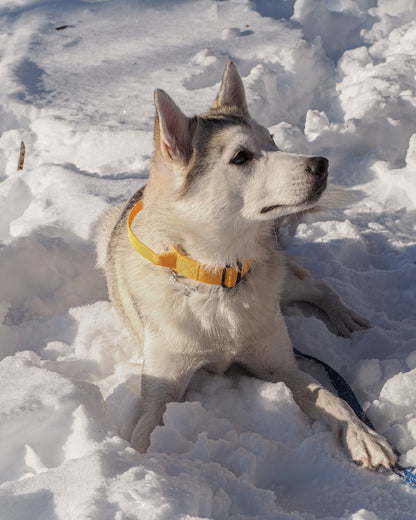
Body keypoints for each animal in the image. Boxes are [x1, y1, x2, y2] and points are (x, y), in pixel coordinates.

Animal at [96, 60, 394, 468]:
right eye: (241, 157)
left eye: (273, 140)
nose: (321, 164)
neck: (219, 277)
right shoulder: (162, 387)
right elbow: (145, 431)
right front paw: (142, 467)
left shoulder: (280, 366)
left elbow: (332, 398)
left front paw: (364, 435)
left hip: (282, 278)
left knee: (318, 285)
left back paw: (343, 315)